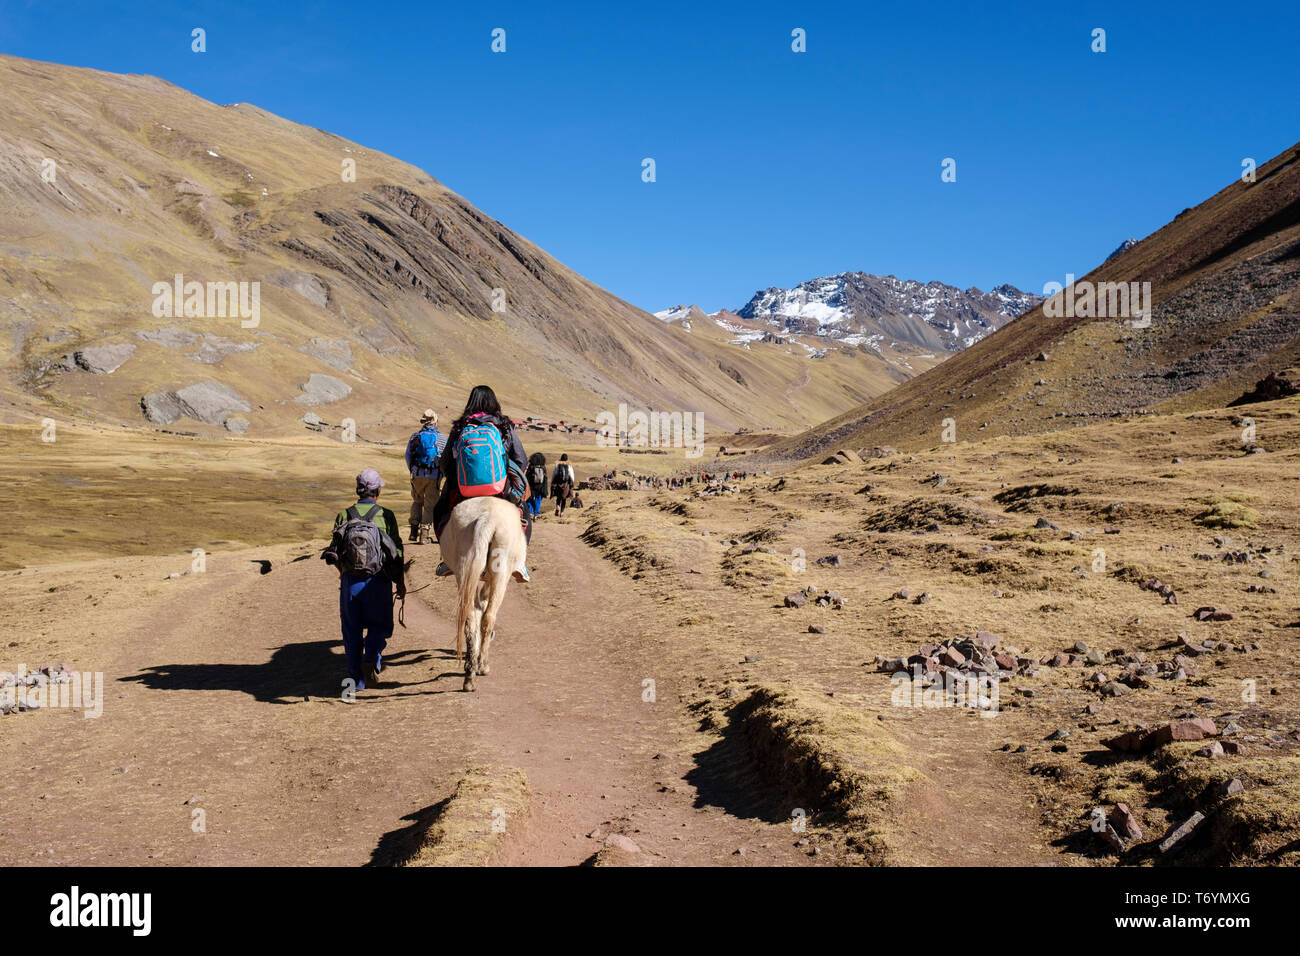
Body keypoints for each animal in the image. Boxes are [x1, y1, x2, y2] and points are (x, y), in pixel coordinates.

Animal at [439, 496, 525, 691]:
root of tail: (487, 519)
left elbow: (478, 607)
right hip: (502, 575)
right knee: (489, 617)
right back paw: (483, 666)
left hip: (463, 570)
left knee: (470, 618)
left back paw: (469, 675)